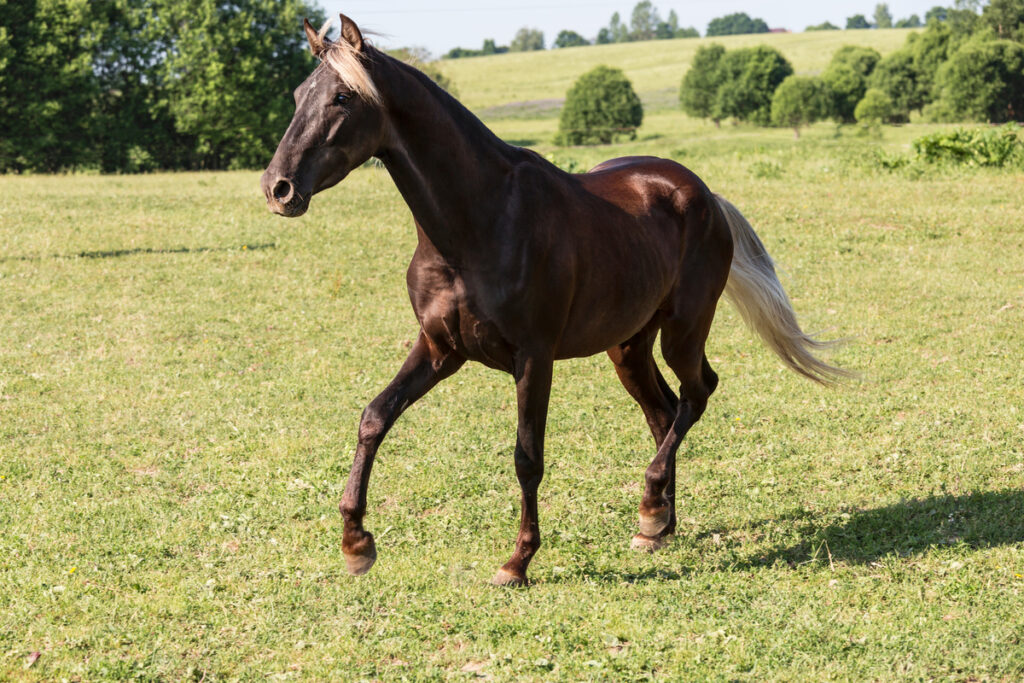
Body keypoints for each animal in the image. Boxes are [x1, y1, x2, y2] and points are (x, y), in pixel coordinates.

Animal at [260, 13, 843, 585]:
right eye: (298, 94)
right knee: (664, 411)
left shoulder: (534, 357)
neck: (479, 223)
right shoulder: (439, 349)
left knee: (697, 393)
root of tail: (703, 195)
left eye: (342, 97)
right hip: (628, 346)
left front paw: (517, 562)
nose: (278, 188)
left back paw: (651, 509)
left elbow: (527, 456)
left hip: (684, 329)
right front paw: (356, 543)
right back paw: (657, 523)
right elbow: (374, 417)